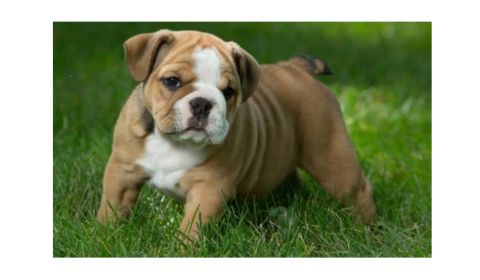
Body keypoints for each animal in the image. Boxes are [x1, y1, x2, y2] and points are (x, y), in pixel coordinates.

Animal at [96, 29, 376, 242]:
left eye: (228, 91)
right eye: (172, 81)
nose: (202, 104)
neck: (172, 142)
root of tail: (296, 67)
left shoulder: (209, 188)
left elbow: (192, 227)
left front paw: (182, 250)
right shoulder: (122, 173)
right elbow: (112, 209)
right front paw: (104, 237)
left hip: (330, 156)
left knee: (357, 190)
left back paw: (366, 230)